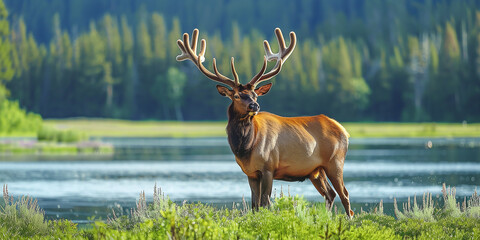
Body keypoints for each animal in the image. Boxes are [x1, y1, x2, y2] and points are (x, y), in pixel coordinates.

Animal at [175, 28, 352, 218]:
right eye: (236, 95)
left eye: (255, 95)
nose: (255, 105)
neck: (245, 147)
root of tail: (344, 130)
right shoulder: (251, 173)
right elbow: (254, 205)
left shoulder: (268, 167)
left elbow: (265, 203)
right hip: (316, 171)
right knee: (330, 194)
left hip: (335, 162)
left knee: (344, 194)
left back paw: (348, 220)